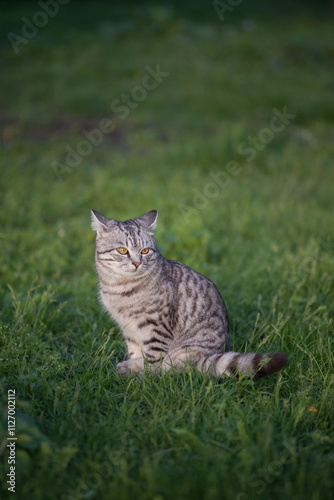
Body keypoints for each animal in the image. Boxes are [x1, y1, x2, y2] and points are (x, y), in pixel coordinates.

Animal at [91, 209, 288, 376]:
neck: (120, 289)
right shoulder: (129, 328)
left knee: (173, 369)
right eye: (122, 250)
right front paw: (134, 365)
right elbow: (135, 351)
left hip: (186, 350)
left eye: (145, 251)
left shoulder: (156, 326)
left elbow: (152, 360)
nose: (137, 263)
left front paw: (142, 374)